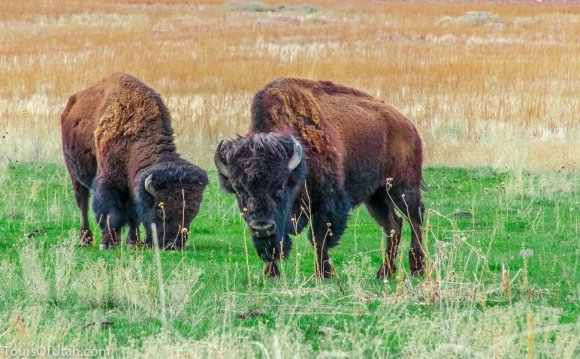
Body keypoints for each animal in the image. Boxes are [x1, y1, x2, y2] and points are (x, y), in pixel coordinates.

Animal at [61, 74, 210, 250]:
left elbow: (134, 216)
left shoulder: (133, 187)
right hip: (74, 174)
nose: (172, 244)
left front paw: (134, 242)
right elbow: (112, 213)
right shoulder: (109, 181)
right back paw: (86, 239)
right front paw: (108, 244)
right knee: (83, 204)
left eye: (192, 212)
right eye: (159, 210)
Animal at [215, 77, 424, 278]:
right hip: (376, 196)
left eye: (281, 186)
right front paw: (271, 274)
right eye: (239, 190)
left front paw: (323, 273)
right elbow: (275, 245)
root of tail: (408, 125)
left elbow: (318, 238)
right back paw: (383, 272)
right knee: (393, 225)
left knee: (415, 219)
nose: (262, 227)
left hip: (402, 188)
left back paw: (417, 268)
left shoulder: (328, 203)